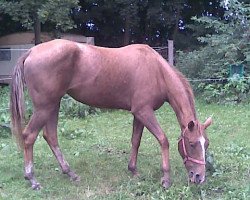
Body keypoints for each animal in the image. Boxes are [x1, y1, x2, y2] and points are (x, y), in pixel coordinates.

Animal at [10, 38, 212, 189]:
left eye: (206, 144)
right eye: (192, 144)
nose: (199, 177)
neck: (157, 71)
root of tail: (31, 52)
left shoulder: (139, 114)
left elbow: (135, 141)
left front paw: (133, 170)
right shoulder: (144, 112)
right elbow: (163, 140)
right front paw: (166, 179)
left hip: (53, 105)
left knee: (50, 136)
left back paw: (70, 173)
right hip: (45, 107)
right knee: (29, 136)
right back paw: (32, 179)